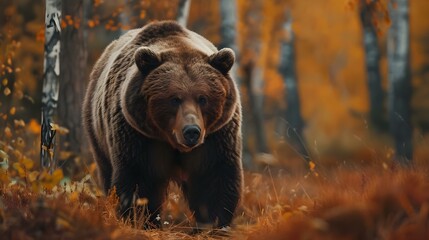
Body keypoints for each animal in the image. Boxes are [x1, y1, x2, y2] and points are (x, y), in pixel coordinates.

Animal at [82, 21, 242, 229]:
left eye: (203, 98)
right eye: (174, 99)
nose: (192, 131)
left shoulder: (217, 136)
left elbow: (213, 177)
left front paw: (214, 223)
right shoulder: (137, 134)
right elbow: (140, 179)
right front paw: (141, 219)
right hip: (96, 129)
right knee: (107, 170)